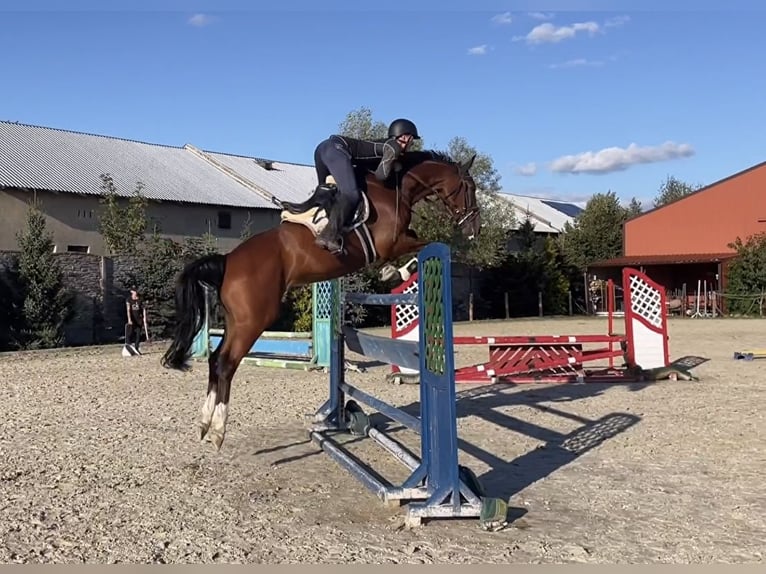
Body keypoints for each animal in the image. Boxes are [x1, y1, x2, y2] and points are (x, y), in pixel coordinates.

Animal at [164, 151, 480, 452]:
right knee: (226, 363)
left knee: (215, 360)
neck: (395, 187)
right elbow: (430, 245)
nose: (473, 228)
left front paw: (392, 272)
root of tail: (228, 261)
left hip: (235, 321)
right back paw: (218, 430)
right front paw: (396, 272)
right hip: (253, 321)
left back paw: (204, 424)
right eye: (469, 187)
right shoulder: (392, 243)